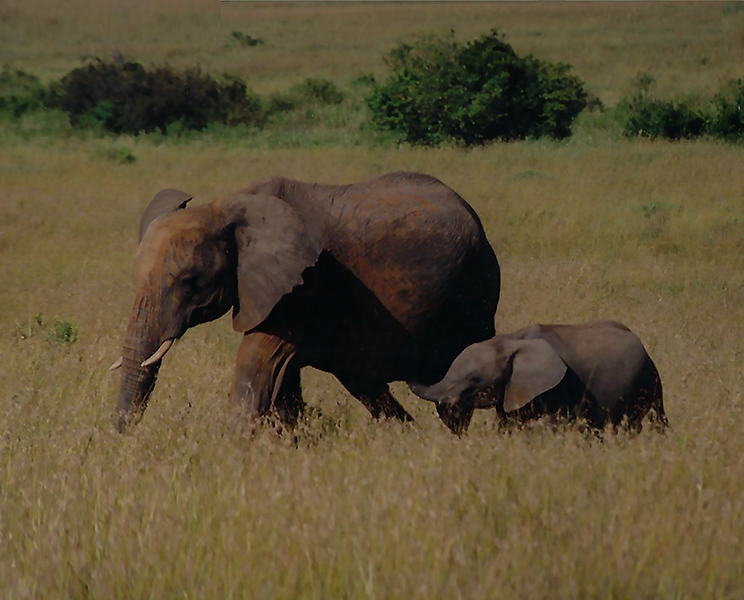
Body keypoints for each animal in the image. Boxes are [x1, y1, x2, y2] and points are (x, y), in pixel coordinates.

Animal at [110, 172, 502, 432]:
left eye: (190, 283)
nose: (121, 441)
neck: (224, 209)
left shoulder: (302, 284)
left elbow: (258, 362)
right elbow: (283, 380)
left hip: (475, 286)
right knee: (365, 383)